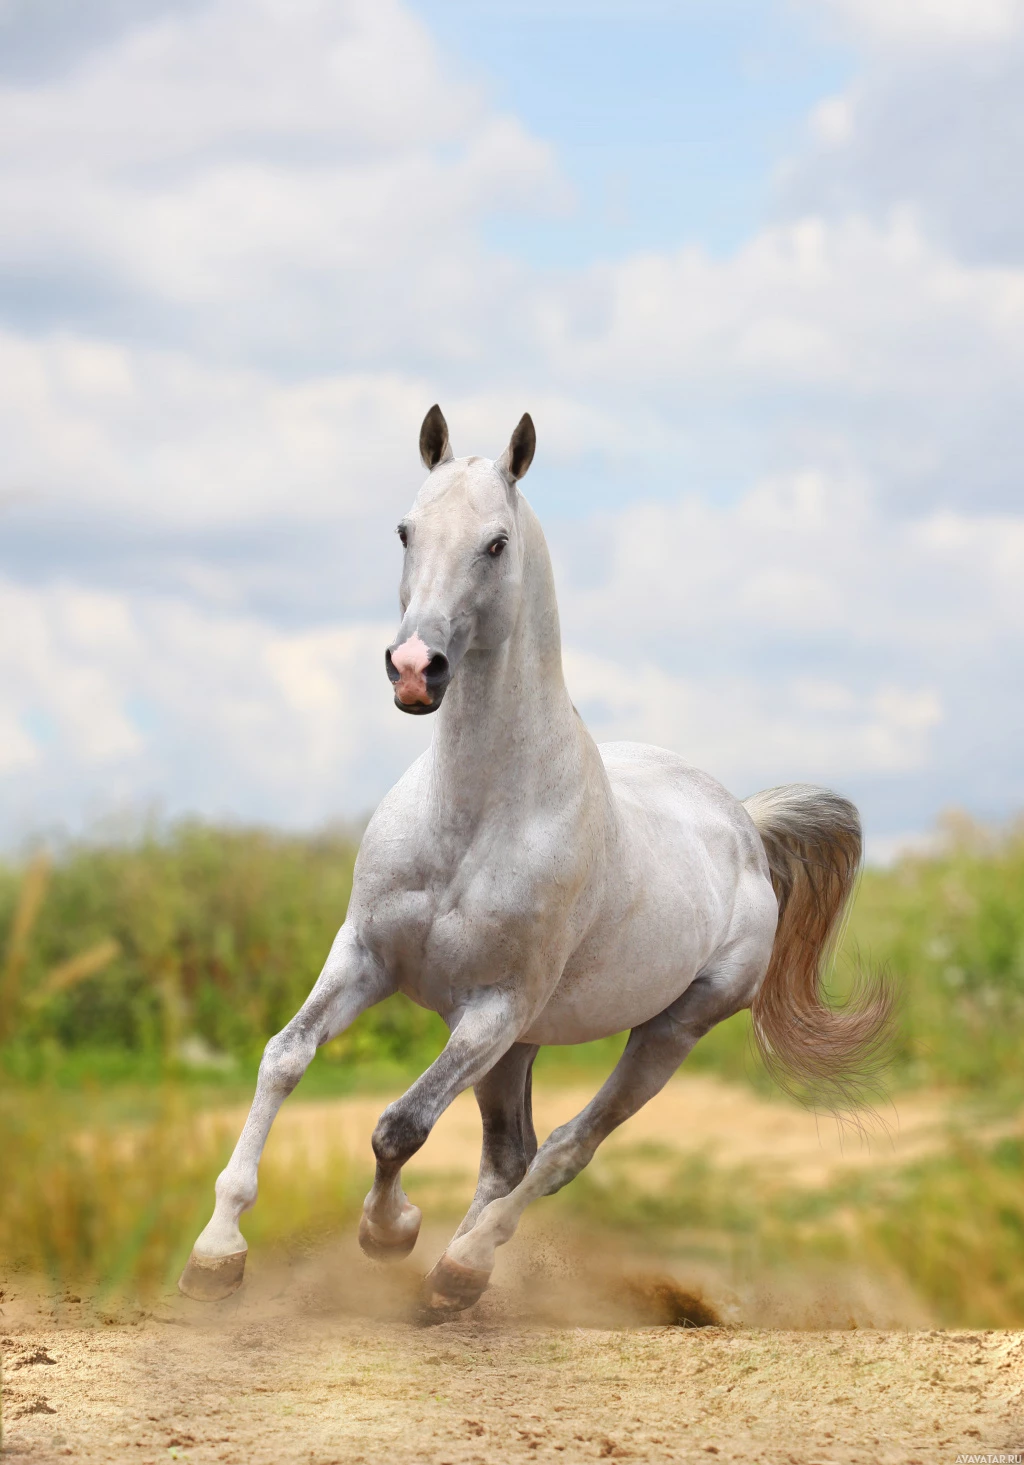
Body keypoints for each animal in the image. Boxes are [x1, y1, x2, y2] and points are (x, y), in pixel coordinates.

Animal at [180, 410, 890, 1318]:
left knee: (561, 1150)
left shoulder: (492, 1005)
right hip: (520, 1045)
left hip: (663, 1030)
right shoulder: (367, 956)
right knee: (508, 1154)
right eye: (406, 530)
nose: (415, 669)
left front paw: (390, 1232)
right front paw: (216, 1252)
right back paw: (452, 1276)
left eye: (496, 543)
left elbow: (400, 1123)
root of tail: (742, 823)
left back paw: (461, 1267)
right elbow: (285, 1056)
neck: (471, 818)